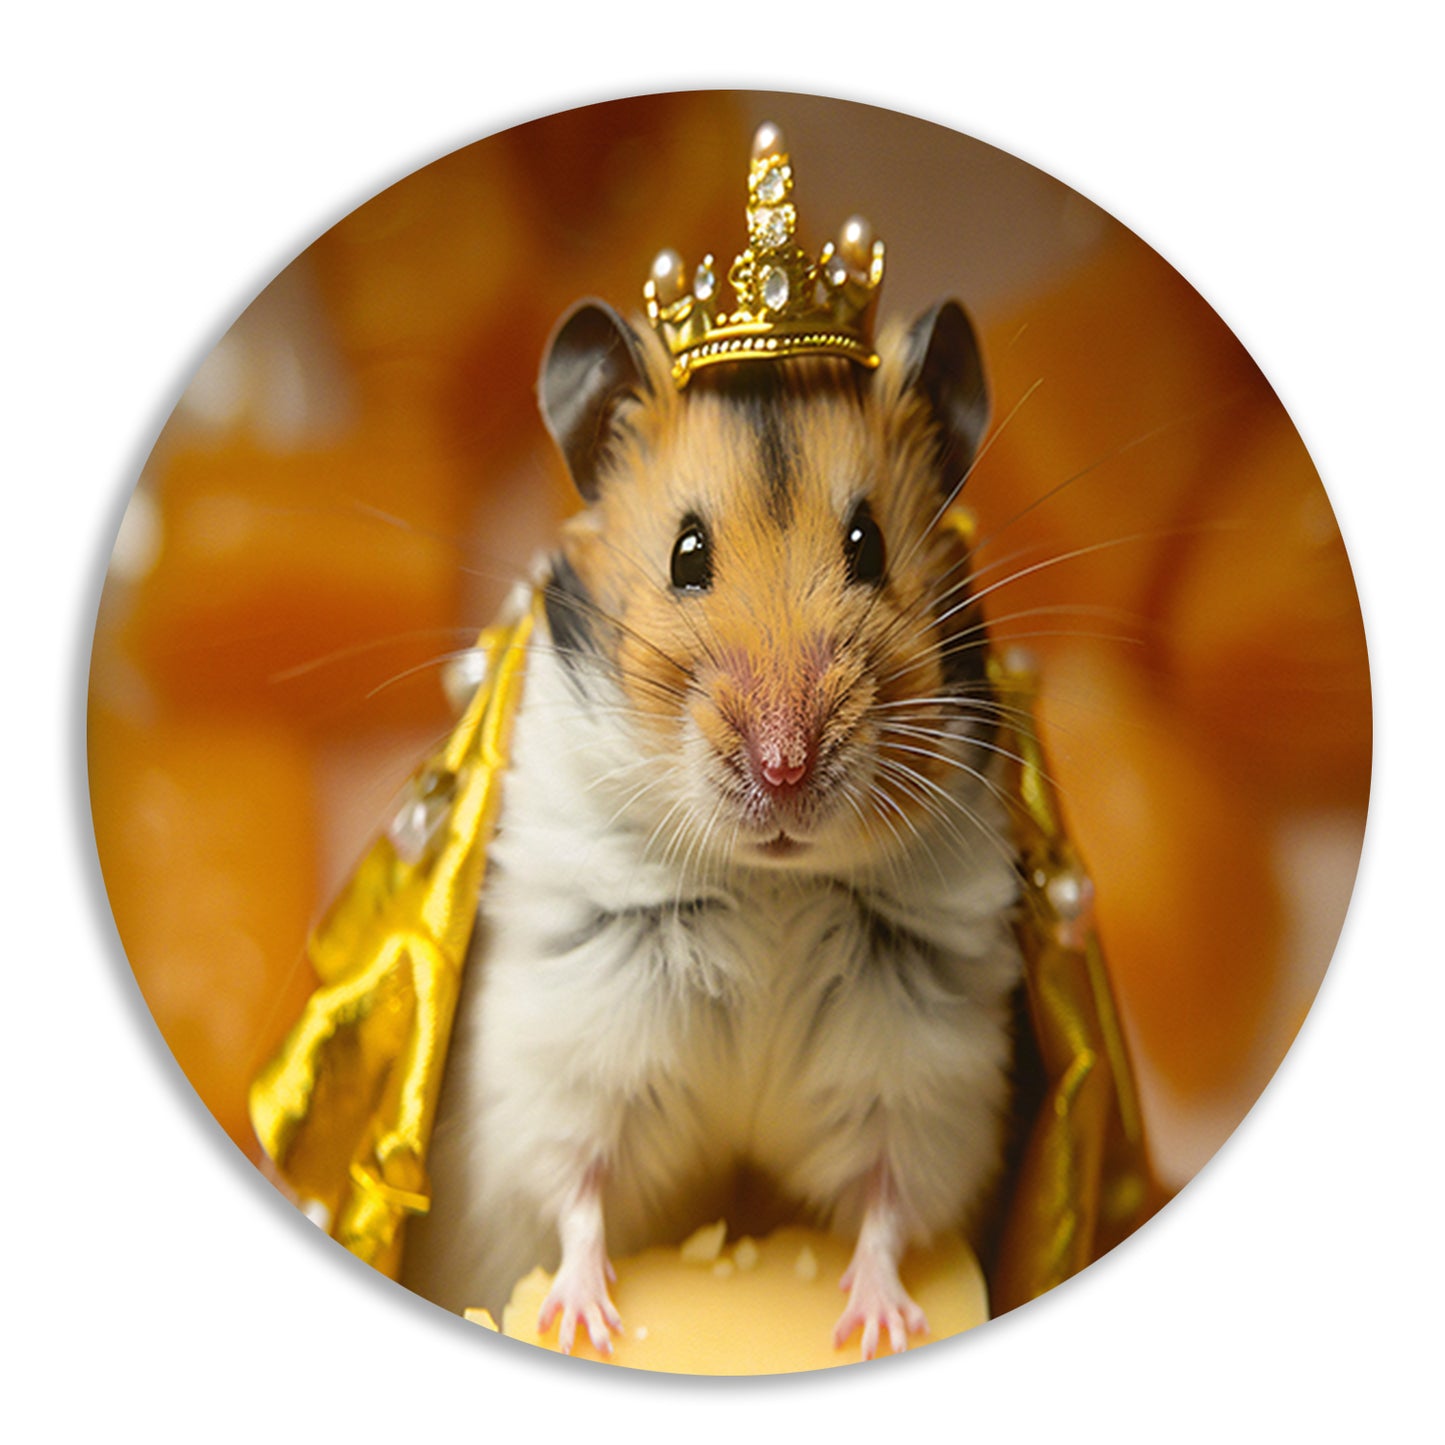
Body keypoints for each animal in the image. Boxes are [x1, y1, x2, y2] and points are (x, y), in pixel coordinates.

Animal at [401, 294, 1026, 1360]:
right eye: (685, 555)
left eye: (867, 544)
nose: (785, 767)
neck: (772, 882)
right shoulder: (567, 1051)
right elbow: (577, 1191)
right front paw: (582, 1322)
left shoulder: (922, 1075)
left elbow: (889, 1204)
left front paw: (876, 1326)